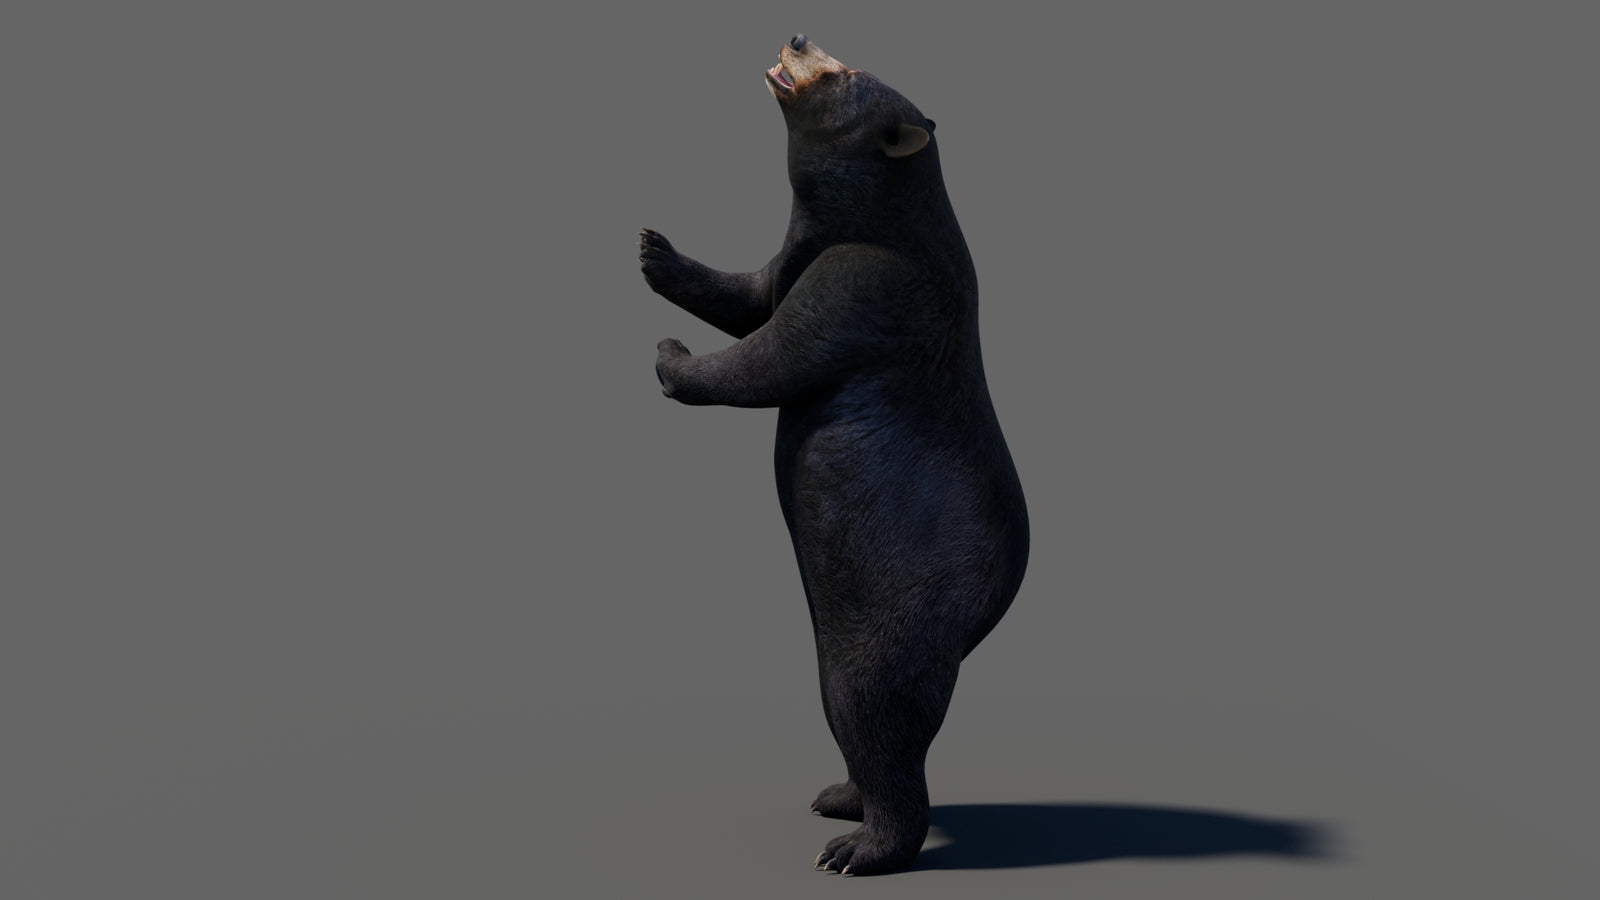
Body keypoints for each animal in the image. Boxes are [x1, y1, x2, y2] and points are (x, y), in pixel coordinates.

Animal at [641, 33, 1028, 875]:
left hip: (896, 615)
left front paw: (670, 357)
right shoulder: (801, 252)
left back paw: (858, 848)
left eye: (843, 71)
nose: (796, 35)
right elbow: (753, 292)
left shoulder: (868, 278)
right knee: (855, 717)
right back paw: (837, 796)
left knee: (877, 711)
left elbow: (776, 352)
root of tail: (984, 616)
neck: (878, 214)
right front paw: (654, 251)